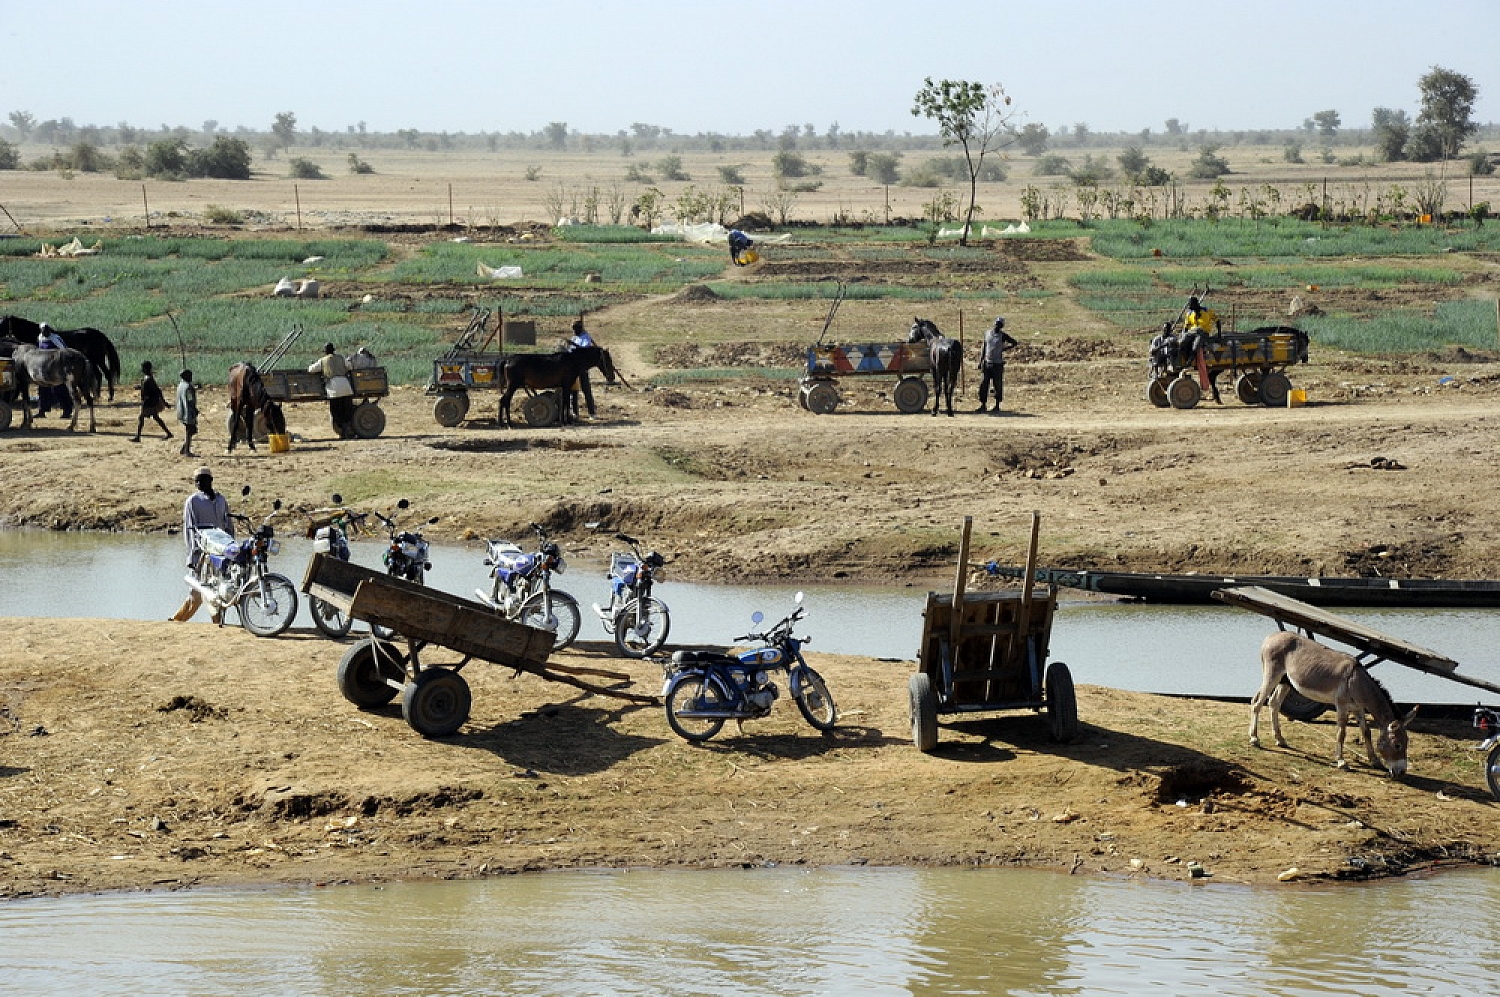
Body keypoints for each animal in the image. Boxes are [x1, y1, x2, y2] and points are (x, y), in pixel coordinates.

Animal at [1254, 629, 1416, 779]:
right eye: (1397, 745)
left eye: (1407, 742)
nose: (1402, 772)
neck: (1356, 681)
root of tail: (1272, 636)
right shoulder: (1342, 706)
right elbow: (1341, 733)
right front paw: (1341, 761)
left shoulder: (1358, 708)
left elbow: (1367, 732)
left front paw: (1375, 761)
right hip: (1272, 674)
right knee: (1257, 702)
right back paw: (1255, 739)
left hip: (1285, 681)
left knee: (1274, 703)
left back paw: (1280, 740)